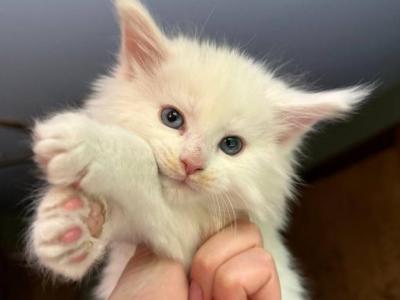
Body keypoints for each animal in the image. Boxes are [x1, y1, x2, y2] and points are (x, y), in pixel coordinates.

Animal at [28, 1, 372, 298]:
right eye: (172, 118)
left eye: (231, 145)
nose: (191, 164)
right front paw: (69, 227)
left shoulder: (189, 240)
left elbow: (144, 176)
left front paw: (87, 144)